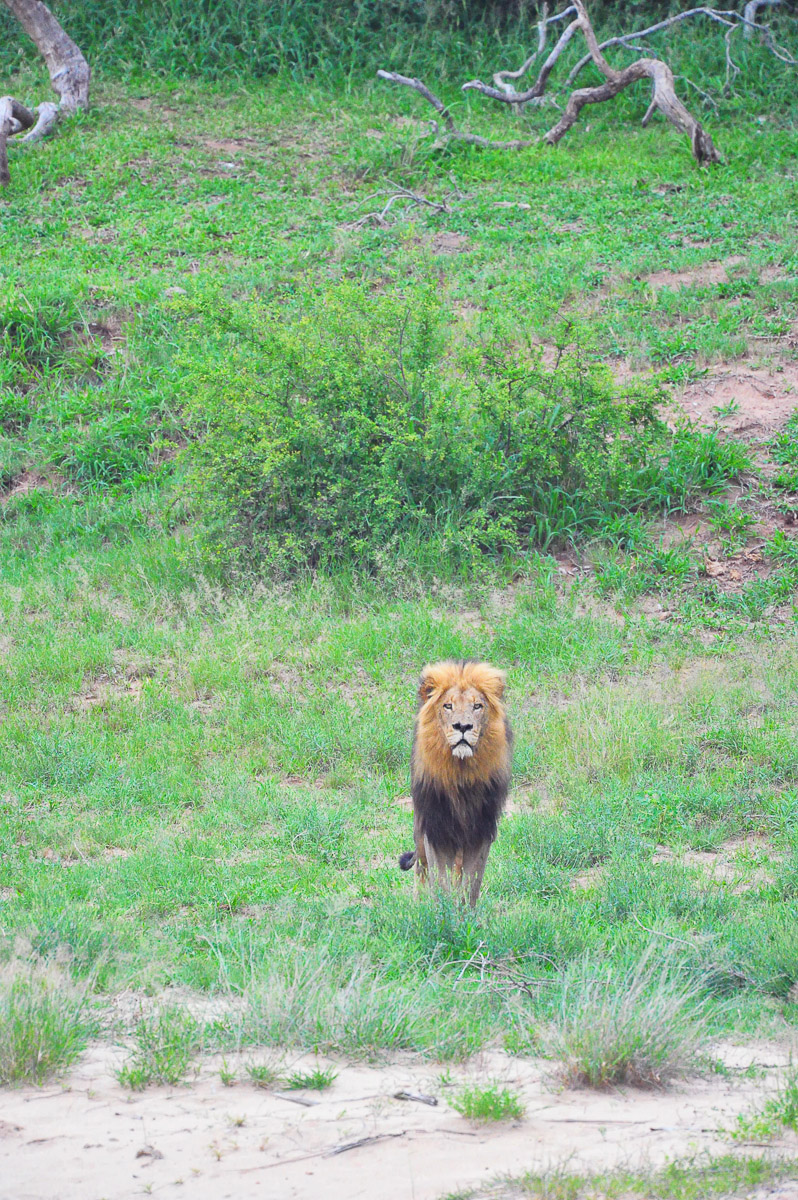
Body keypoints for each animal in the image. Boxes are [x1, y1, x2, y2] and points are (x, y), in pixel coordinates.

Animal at [399, 660, 512, 907]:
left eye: (477, 706)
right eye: (448, 706)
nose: (463, 726)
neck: (461, 775)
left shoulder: (481, 833)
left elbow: (470, 885)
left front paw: (463, 913)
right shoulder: (435, 830)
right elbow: (440, 881)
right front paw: (441, 911)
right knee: (421, 871)